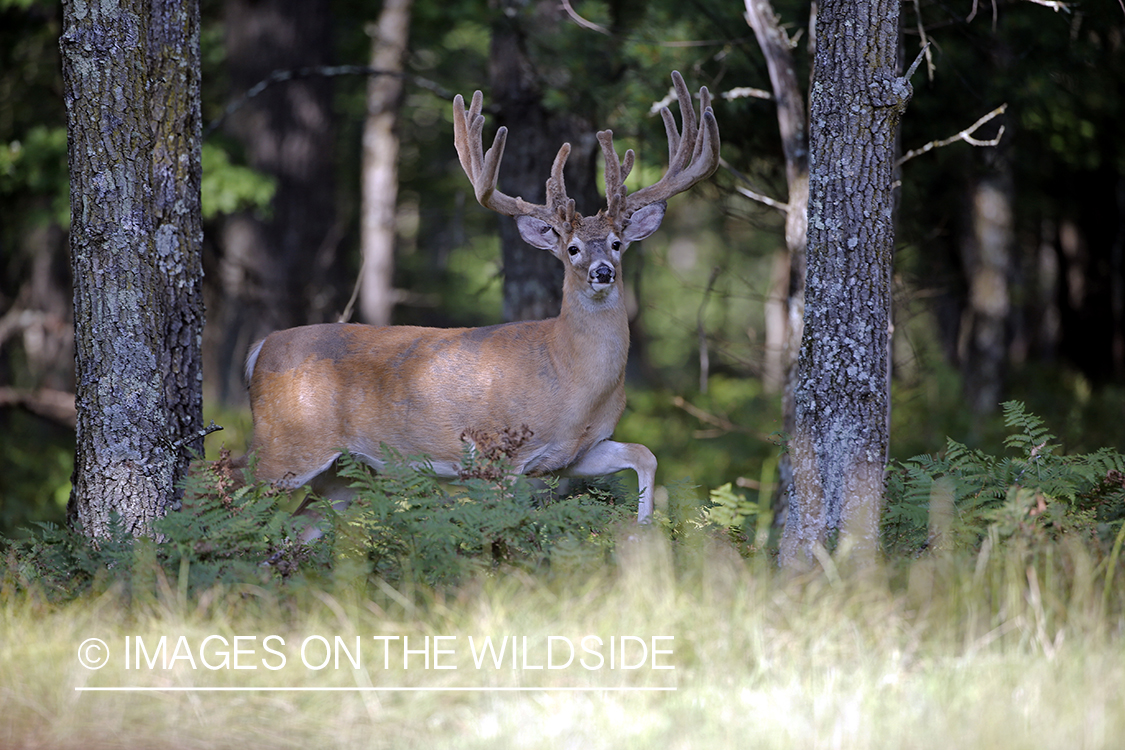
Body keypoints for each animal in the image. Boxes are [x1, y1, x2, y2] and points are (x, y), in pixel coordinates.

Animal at [236, 71, 720, 532]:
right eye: (572, 248)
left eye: (618, 243)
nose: (603, 272)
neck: (569, 374)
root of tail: (262, 348)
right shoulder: (496, 452)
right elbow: (506, 524)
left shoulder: (577, 452)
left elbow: (644, 453)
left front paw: (645, 532)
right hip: (284, 445)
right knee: (231, 487)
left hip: (343, 473)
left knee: (298, 525)